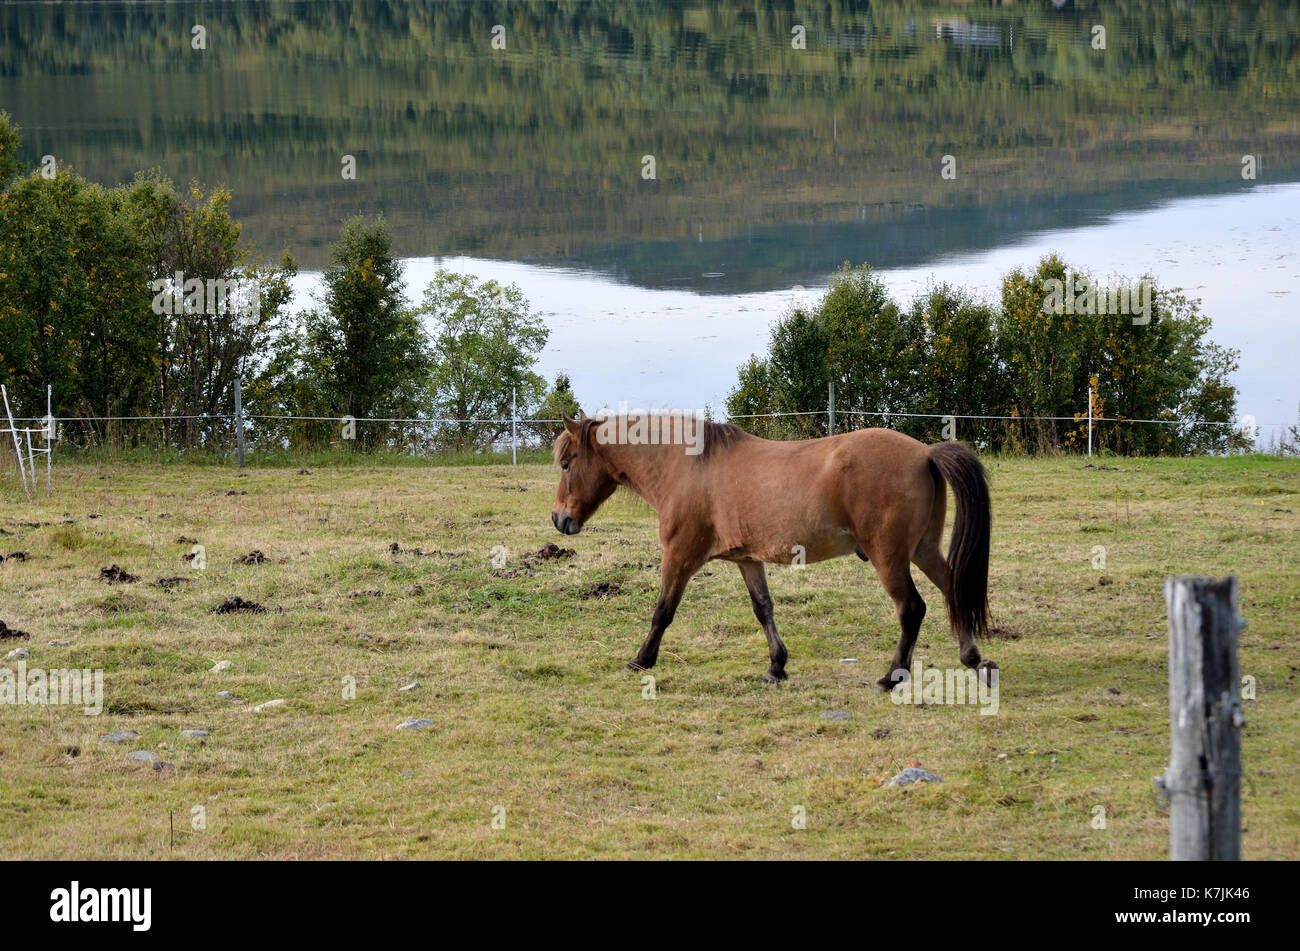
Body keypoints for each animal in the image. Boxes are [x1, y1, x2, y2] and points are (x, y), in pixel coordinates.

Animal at [551, 413, 993, 685]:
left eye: (566, 463)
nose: (559, 519)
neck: (686, 466)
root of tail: (925, 452)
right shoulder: (748, 560)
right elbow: (763, 609)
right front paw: (776, 667)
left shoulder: (680, 556)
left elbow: (663, 611)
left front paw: (641, 659)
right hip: (922, 549)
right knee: (952, 589)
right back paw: (973, 660)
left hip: (890, 558)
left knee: (912, 609)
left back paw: (892, 677)